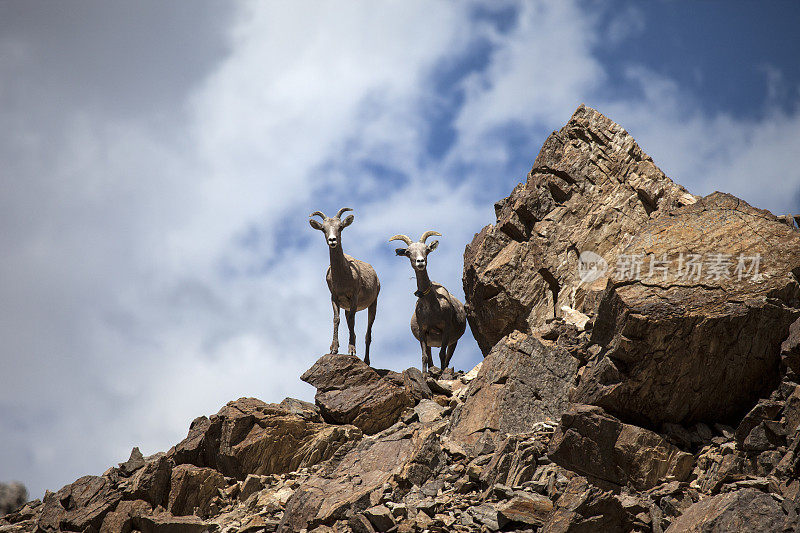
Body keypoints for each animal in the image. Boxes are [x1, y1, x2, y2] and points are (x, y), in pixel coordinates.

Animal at [308, 206, 380, 364]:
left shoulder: (353, 297)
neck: (343, 276)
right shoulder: (335, 297)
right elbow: (336, 319)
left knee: (368, 333)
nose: (332, 240)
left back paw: (366, 360)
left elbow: (353, 320)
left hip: (373, 304)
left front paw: (351, 351)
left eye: (340, 227)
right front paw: (334, 349)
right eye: (323, 229)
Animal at [390, 231, 466, 372]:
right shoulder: (423, 331)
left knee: (447, 358)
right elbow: (424, 357)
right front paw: (424, 374)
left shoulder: (446, 329)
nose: (420, 261)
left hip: (454, 342)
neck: (432, 308)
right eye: (408, 252)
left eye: (426, 249)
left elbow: (442, 355)